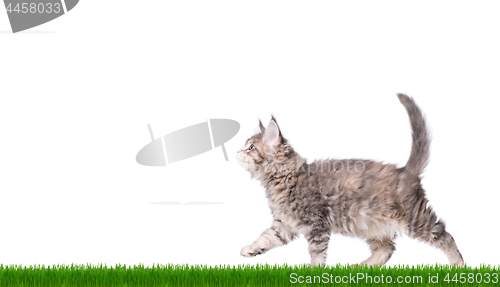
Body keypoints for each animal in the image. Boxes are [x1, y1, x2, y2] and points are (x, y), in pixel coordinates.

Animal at [238, 94, 464, 268]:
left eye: (251, 147)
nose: (238, 151)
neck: (282, 180)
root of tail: (406, 170)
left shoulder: (316, 222)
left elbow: (316, 250)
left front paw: (312, 270)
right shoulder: (284, 224)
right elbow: (266, 237)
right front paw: (251, 249)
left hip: (414, 218)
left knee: (445, 235)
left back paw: (458, 265)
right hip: (370, 223)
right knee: (387, 249)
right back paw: (362, 267)